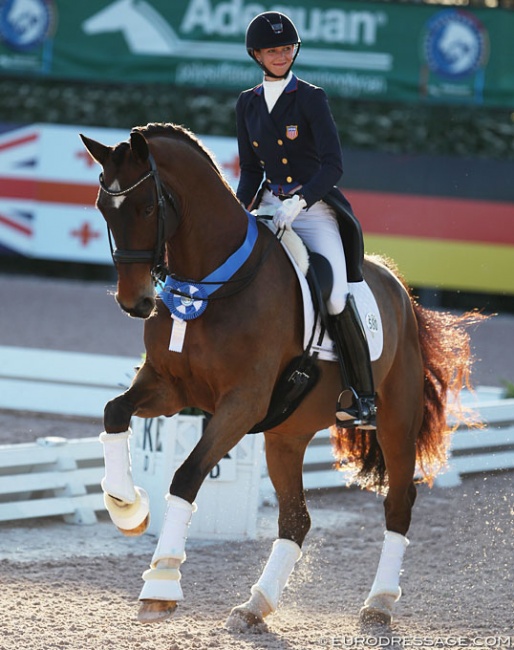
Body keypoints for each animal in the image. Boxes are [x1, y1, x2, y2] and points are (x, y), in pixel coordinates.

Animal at [81, 121, 480, 628]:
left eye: (148, 207)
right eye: (102, 209)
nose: (135, 303)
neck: (213, 283)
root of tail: (400, 289)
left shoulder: (241, 403)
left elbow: (187, 476)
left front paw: (161, 582)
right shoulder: (169, 388)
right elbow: (115, 412)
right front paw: (127, 507)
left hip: (394, 420)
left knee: (398, 503)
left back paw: (379, 604)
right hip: (286, 434)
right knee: (296, 519)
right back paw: (256, 604)